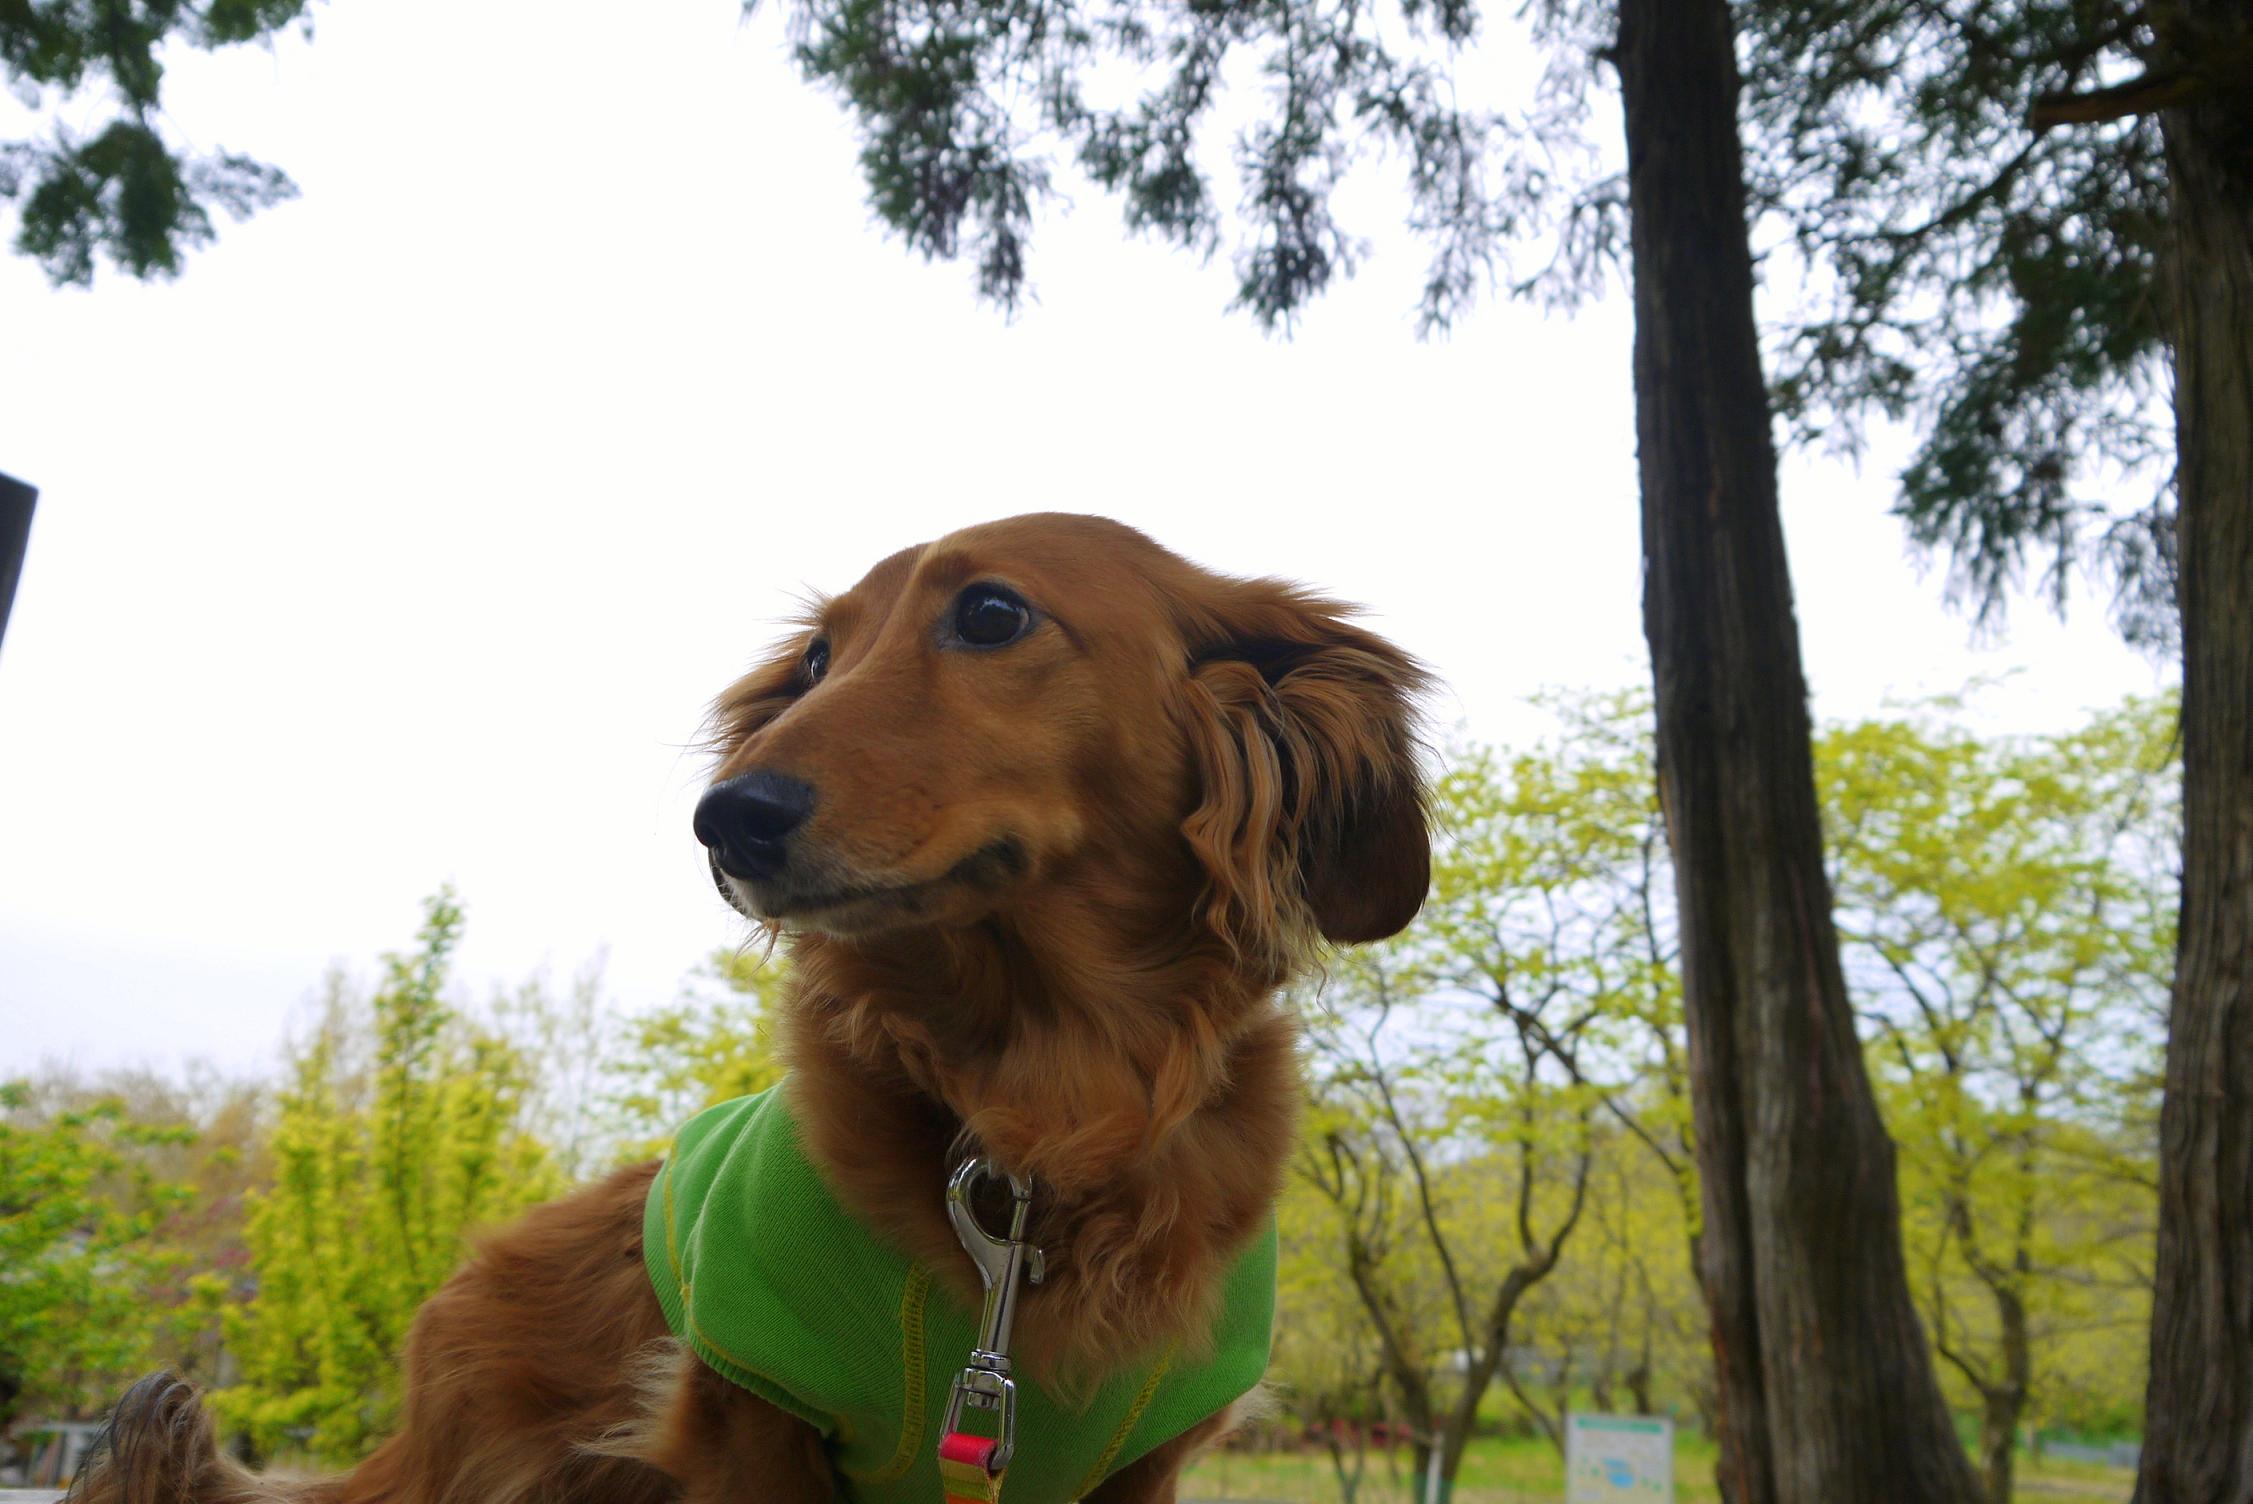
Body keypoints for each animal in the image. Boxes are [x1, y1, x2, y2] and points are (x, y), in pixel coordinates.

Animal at [74, 517, 1423, 1504]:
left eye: (992, 613)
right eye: (817, 660)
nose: (723, 821)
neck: (1042, 1119)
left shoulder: (1137, 1465)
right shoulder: (750, 1410)